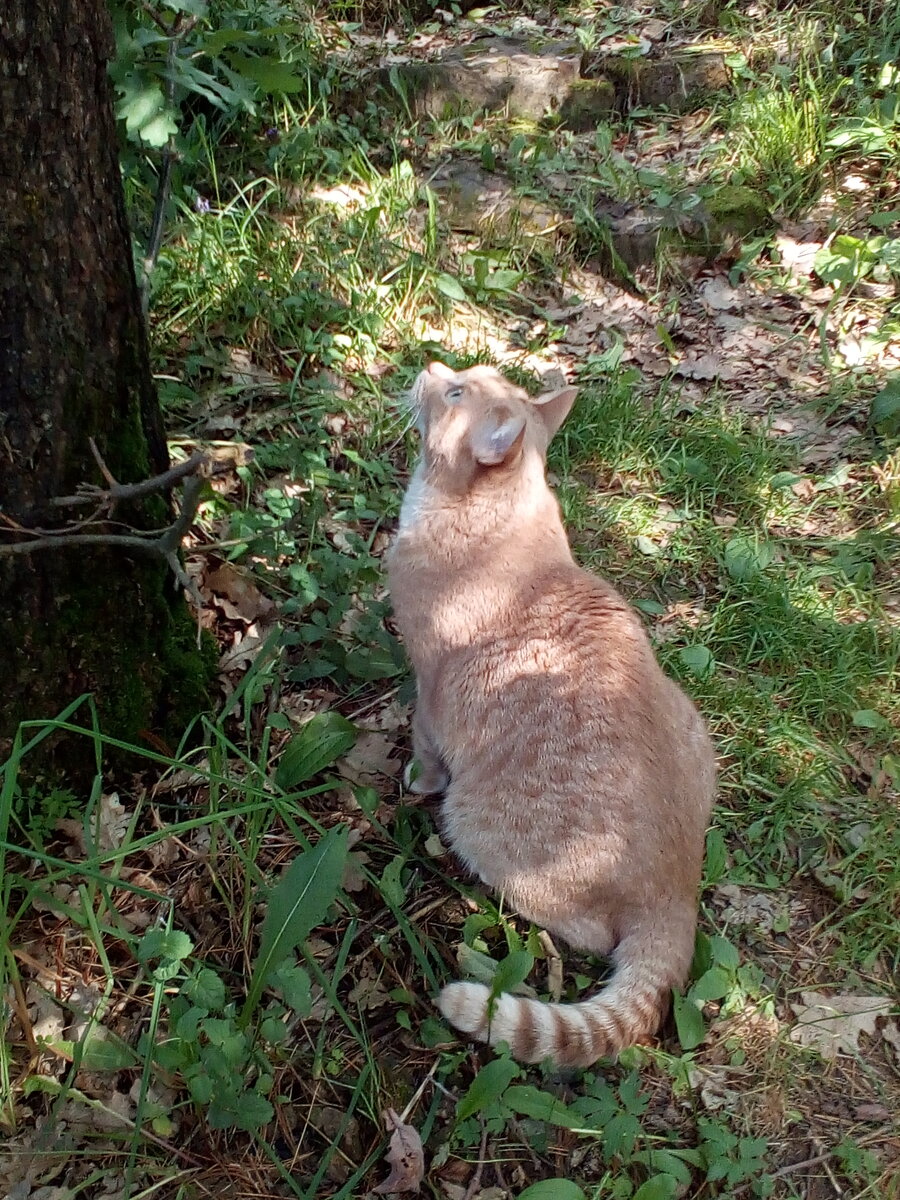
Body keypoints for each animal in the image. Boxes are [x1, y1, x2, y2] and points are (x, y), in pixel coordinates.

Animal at [388, 360, 720, 1065]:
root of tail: (678, 892)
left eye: (454, 392)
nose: (431, 364)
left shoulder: (429, 692)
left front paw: (415, 780)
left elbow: (425, 753)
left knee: (590, 935)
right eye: (464, 375)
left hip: (476, 828)